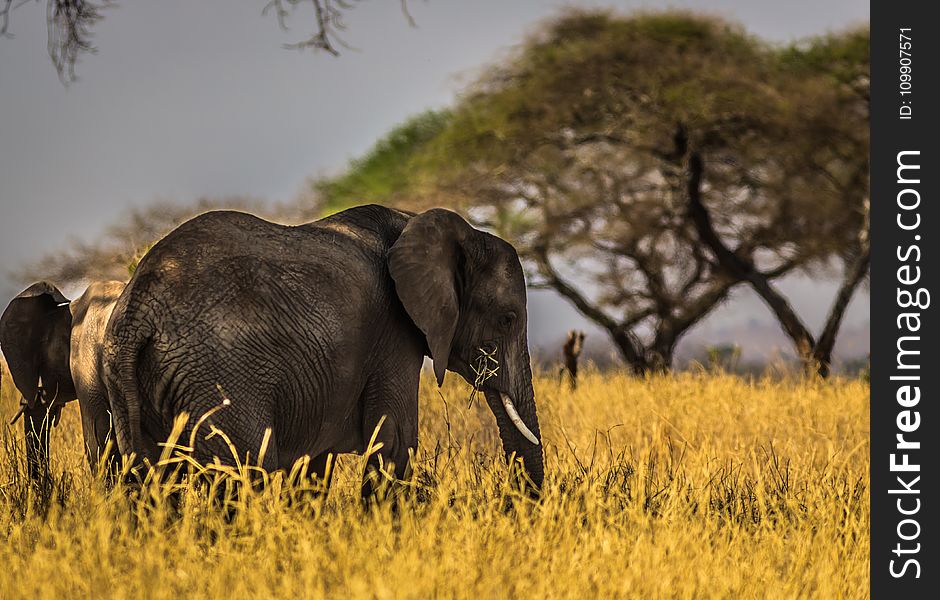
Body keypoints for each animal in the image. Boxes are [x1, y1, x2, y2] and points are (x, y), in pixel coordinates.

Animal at [101, 206, 544, 496]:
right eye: (508, 318)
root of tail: (139, 306)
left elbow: (315, 463)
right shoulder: (394, 332)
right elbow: (395, 440)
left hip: (133, 385)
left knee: (149, 482)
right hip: (216, 377)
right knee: (245, 476)